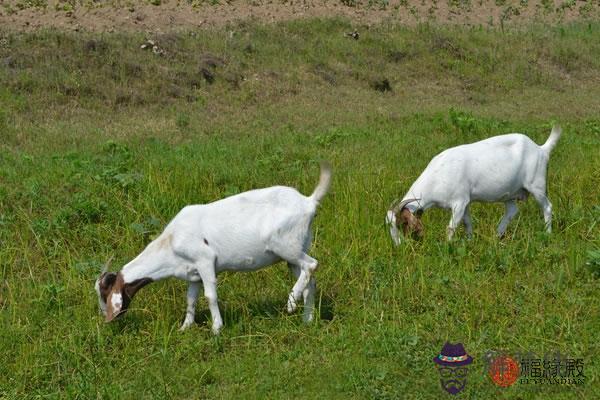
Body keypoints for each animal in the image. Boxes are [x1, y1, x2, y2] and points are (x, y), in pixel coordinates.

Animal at [96, 161, 336, 332]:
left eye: (104, 292)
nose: (105, 318)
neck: (170, 242)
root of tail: (309, 201)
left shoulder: (205, 260)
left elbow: (210, 296)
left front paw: (216, 329)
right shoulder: (192, 274)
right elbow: (191, 300)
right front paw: (185, 328)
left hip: (285, 245)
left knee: (312, 264)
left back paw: (291, 302)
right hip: (296, 249)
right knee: (310, 280)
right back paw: (307, 319)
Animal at [386, 126, 560, 244]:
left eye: (402, 223)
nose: (398, 246)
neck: (437, 177)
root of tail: (541, 149)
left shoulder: (459, 202)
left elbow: (451, 227)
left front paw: (447, 246)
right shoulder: (465, 203)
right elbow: (467, 223)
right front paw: (469, 241)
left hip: (536, 185)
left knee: (547, 207)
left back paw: (547, 234)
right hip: (510, 193)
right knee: (512, 210)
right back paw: (497, 236)